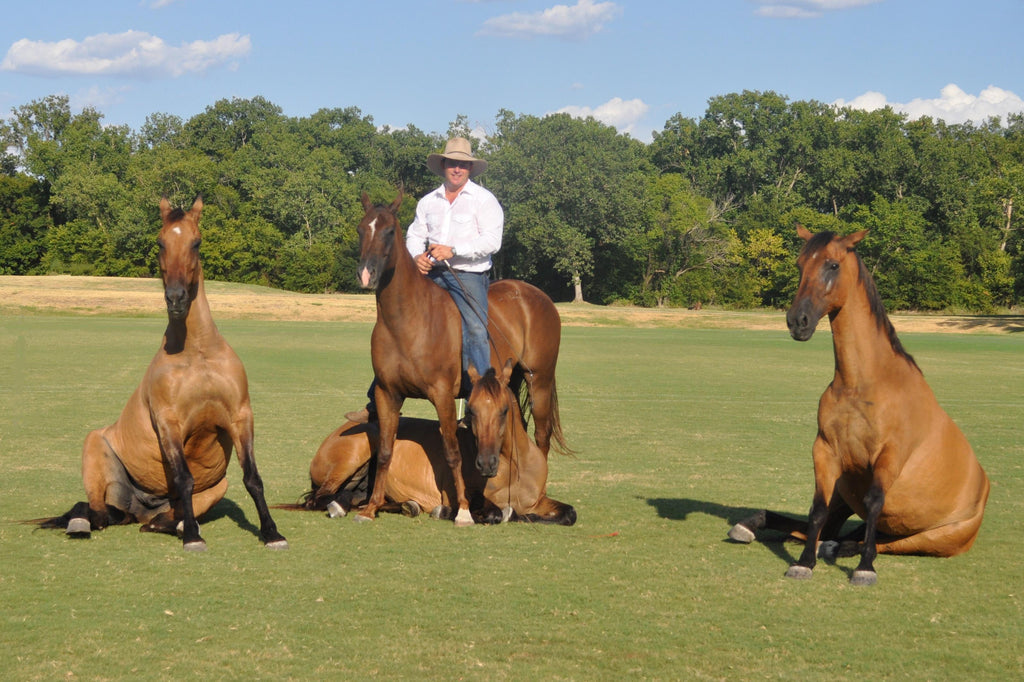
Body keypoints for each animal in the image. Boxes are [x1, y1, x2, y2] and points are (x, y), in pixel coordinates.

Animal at [38, 196, 288, 552]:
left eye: (196, 242)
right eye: (160, 242)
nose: (176, 299)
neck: (197, 352)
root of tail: (142, 507)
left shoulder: (241, 416)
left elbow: (253, 478)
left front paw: (271, 532)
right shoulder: (169, 422)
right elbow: (184, 477)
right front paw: (194, 537)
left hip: (216, 487)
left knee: (156, 521)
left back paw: (170, 523)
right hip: (95, 448)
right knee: (96, 514)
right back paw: (80, 524)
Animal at [294, 358, 577, 522]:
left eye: (504, 410)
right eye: (471, 409)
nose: (486, 464)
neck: (515, 469)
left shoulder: (539, 501)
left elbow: (568, 514)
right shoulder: (462, 494)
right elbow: (495, 513)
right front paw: (448, 512)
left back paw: (407, 505)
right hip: (354, 456)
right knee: (320, 498)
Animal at [356, 191, 569, 524]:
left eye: (389, 231)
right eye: (360, 229)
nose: (367, 274)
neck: (407, 320)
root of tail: (538, 296)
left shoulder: (442, 395)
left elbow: (452, 453)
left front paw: (464, 511)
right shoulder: (387, 393)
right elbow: (386, 449)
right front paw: (371, 506)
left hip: (540, 381)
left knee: (543, 435)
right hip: (512, 381)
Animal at [729, 227, 983, 585]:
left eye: (833, 265)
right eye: (799, 264)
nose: (797, 321)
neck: (862, 384)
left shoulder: (889, 457)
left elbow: (874, 503)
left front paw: (864, 568)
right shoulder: (825, 451)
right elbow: (816, 509)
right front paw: (803, 563)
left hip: (936, 537)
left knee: (882, 541)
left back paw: (845, 550)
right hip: (847, 495)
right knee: (831, 529)